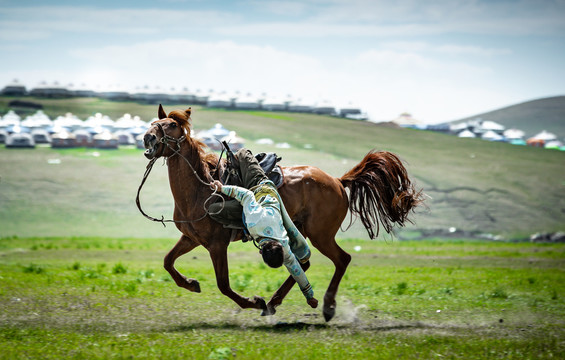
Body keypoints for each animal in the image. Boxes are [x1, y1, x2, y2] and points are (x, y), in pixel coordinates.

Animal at [141, 104, 424, 320]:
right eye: (154, 122)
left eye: (171, 125)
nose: (148, 138)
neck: (200, 188)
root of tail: (337, 180)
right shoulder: (191, 238)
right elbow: (167, 261)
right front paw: (191, 284)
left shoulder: (216, 244)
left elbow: (223, 284)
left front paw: (253, 301)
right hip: (303, 231)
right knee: (306, 262)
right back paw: (275, 303)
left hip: (320, 234)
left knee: (341, 260)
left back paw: (325, 306)